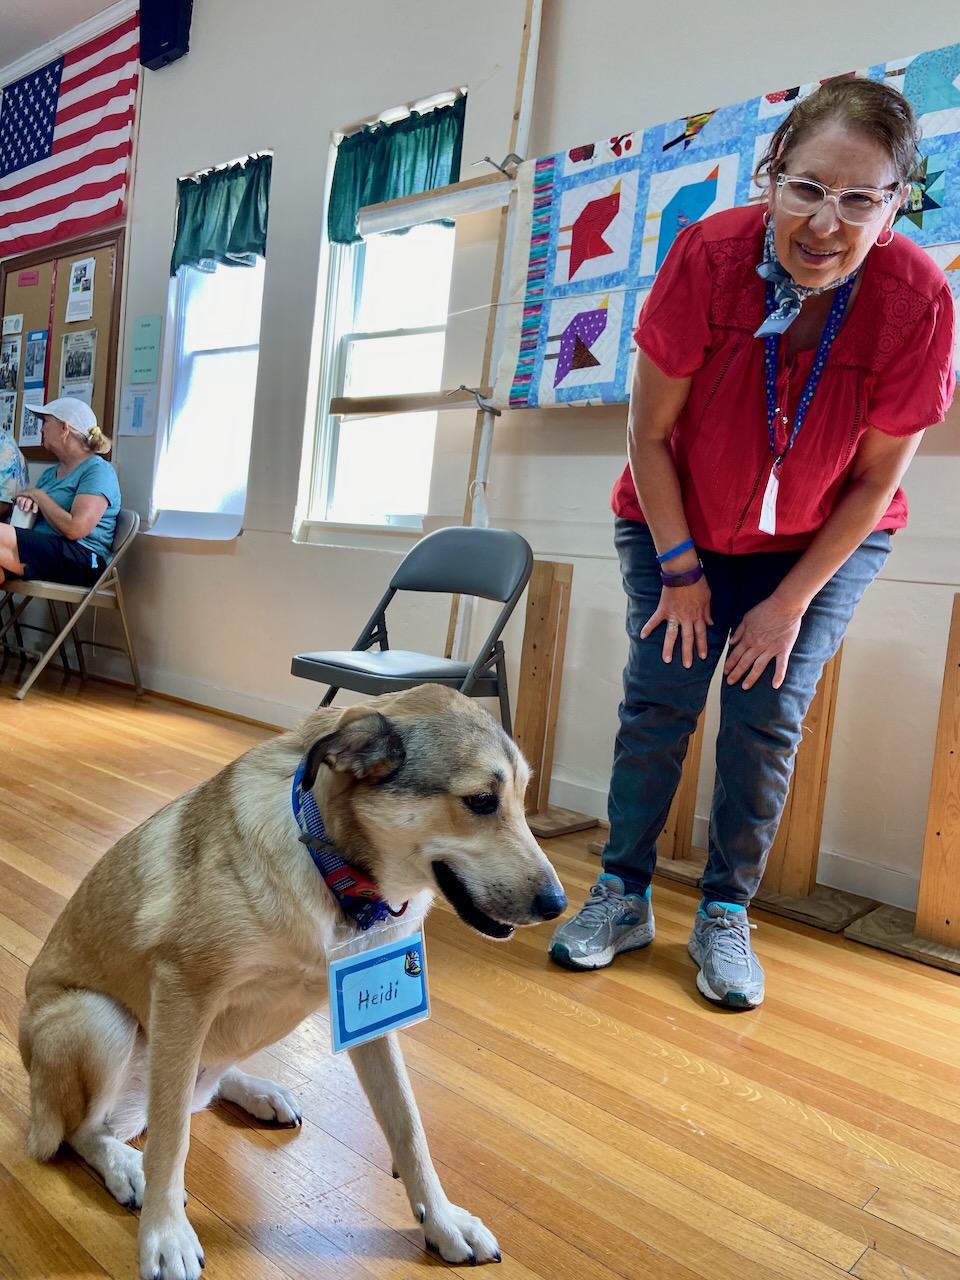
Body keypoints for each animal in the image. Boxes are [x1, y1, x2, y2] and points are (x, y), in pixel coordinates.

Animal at [19, 685, 567, 1279]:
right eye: (482, 801)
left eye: (521, 798)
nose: (558, 905)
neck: (336, 876)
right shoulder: (184, 990)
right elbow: (171, 1140)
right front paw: (164, 1234)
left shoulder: (373, 1020)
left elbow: (409, 1126)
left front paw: (441, 1220)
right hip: (99, 1019)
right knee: (84, 1131)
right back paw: (125, 1164)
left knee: (201, 1085)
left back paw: (257, 1091)